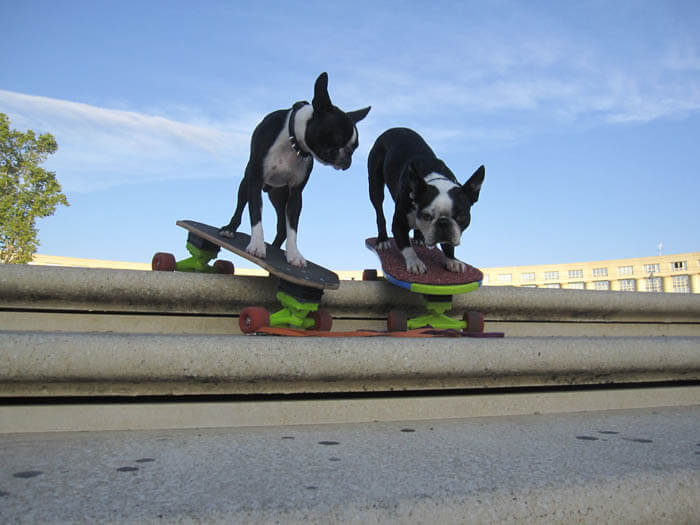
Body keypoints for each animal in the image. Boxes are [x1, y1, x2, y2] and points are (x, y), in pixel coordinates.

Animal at [220, 71, 372, 266]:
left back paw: (275, 247)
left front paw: (294, 254)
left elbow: (292, 228)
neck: (294, 144)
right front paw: (257, 245)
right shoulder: (255, 182)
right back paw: (230, 228)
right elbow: (255, 214)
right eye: (338, 138)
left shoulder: (296, 194)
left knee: (282, 227)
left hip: (279, 196)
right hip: (247, 182)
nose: (348, 158)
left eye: (355, 147)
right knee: (240, 206)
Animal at [370, 127, 484, 274]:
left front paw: (451, 259)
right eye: (426, 216)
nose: (443, 223)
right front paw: (415, 262)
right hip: (375, 185)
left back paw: (419, 238)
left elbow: (449, 245)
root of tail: (393, 128)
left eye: (461, 217)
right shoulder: (399, 223)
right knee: (379, 211)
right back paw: (383, 239)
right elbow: (405, 245)